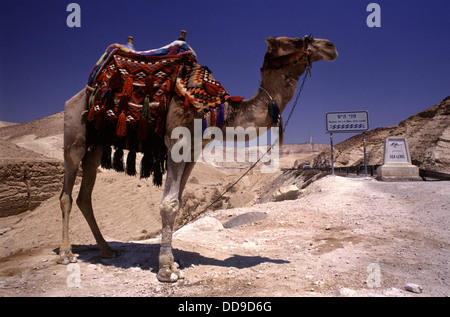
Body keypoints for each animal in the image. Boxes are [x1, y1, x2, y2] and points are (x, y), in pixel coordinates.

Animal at [58, 34, 336, 282]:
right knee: (67, 191)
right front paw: (166, 270)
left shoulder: (192, 152)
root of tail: (82, 92)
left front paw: (173, 261)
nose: (331, 47)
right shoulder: (177, 144)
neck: (218, 110)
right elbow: (168, 204)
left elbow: (178, 202)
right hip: (75, 134)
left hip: (97, 144)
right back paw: (66, 254)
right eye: (297, 41)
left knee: (85, 195)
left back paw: (106, 250)